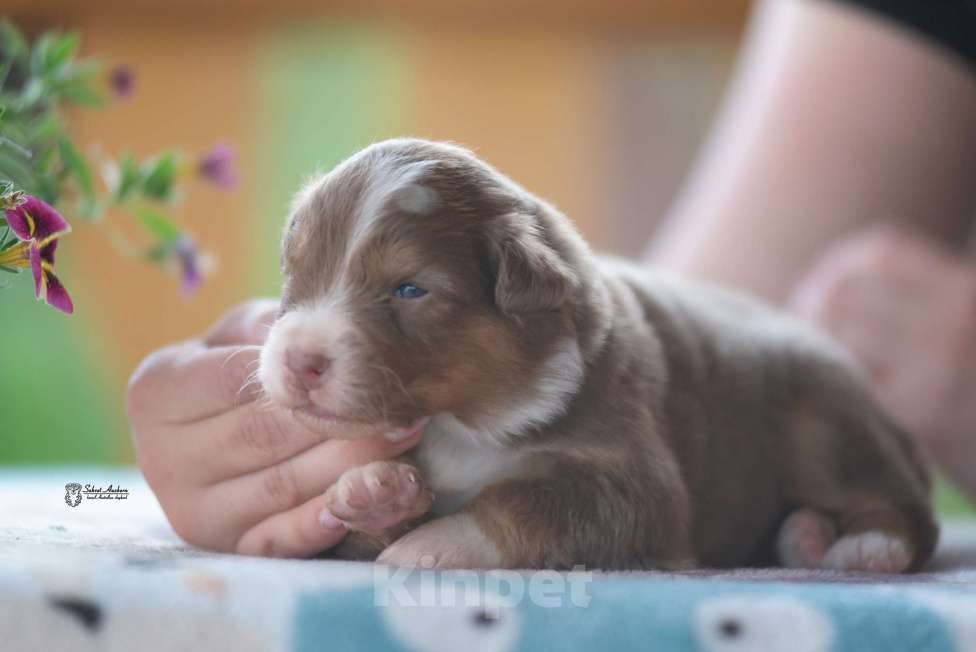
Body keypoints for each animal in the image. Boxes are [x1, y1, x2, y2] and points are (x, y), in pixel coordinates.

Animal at [260, 138, 936, 572]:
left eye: (409, 289)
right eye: (295, 272)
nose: (297, 360)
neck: (466, 422)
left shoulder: (635, 481)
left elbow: (529, 500)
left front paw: (436, 543)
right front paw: (372, 490)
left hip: (825, 422)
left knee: (902, 506)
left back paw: (865, 548)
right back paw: (805, 536)